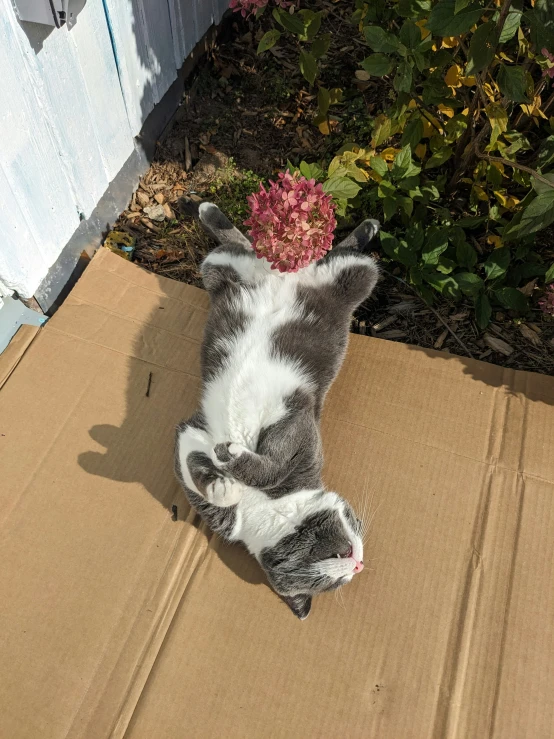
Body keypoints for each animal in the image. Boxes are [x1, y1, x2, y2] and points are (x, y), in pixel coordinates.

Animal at [175, 198, 378, 620]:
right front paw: (222, 482)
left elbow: (266, 467)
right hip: (240, 270)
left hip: (328, 276)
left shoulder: (295, 428)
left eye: (329, 584)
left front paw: (230, 461)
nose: (358, 564)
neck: (267, 504)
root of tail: (283, 269)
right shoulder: (191, 432)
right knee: (323, 250)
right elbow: (197, 470)